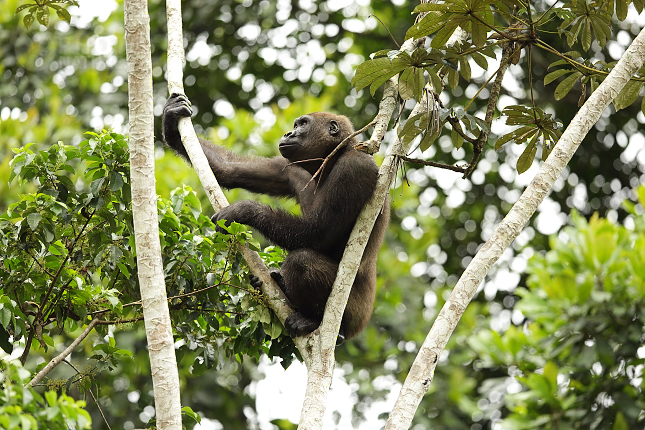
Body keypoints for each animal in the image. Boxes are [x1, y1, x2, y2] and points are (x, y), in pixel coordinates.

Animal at [164, 94, 390, 342]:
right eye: (296, 125)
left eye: (302, 124)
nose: (288, 133)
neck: (332, 159)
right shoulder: (290, 167)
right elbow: (229, 169)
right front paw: (171, 122)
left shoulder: (354, 167)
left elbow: (318, 233)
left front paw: (244, 210)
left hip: (354, 313)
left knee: (302, 261)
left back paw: (314, 321)